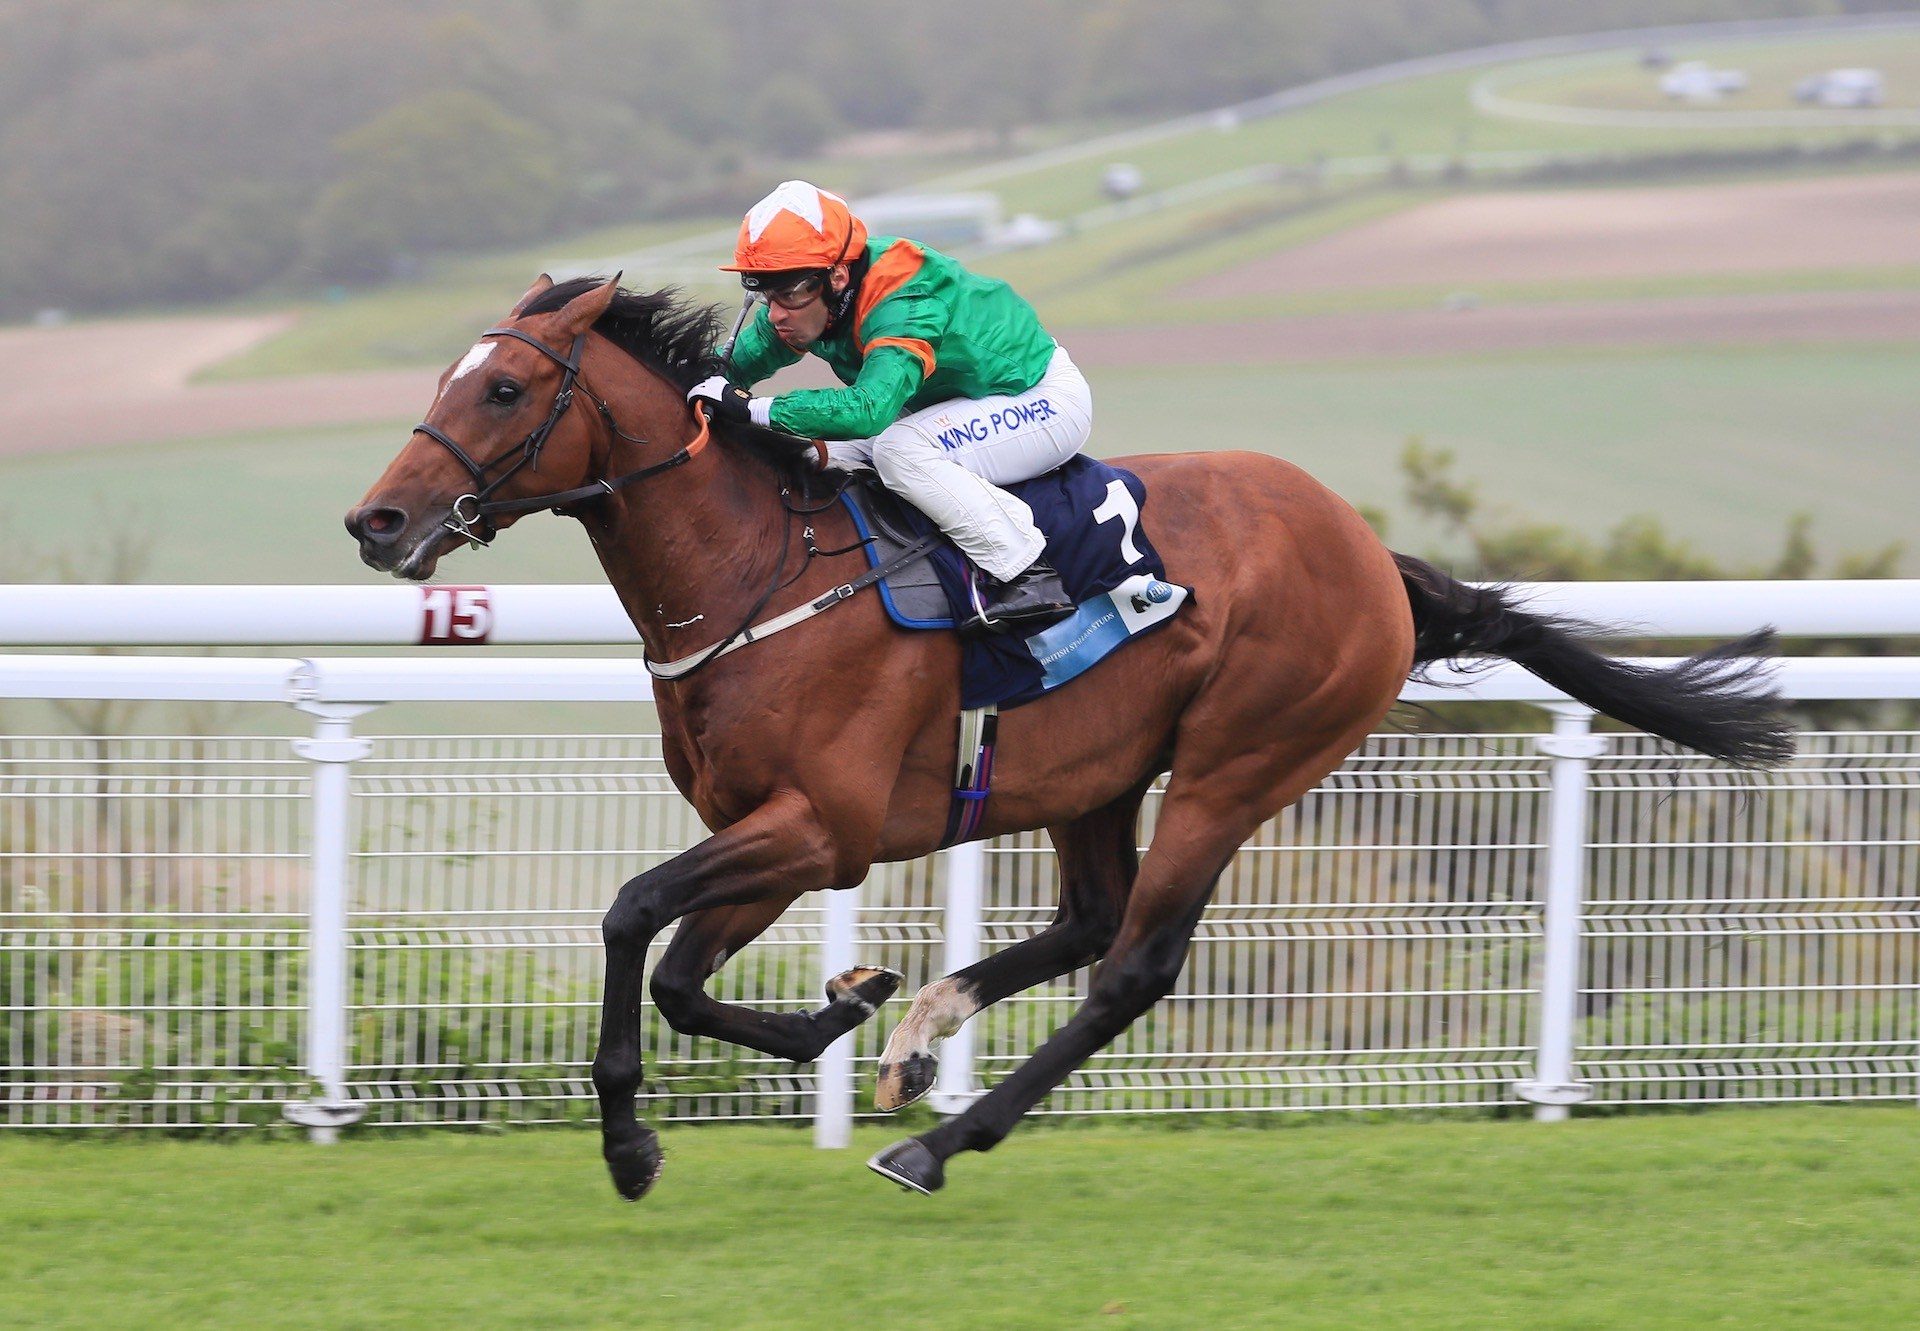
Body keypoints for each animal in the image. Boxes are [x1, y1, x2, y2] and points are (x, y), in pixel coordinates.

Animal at [341, 274, 1781, 1198]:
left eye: (505, 386)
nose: (377, 521)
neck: (755, 572)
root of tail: (1372, 554)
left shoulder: (821, 826)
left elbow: (634, 914)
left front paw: (633, 1145)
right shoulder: (778, 833)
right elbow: (686, 972)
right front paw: (848, 1009)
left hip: (1240, 761)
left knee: (1133, 963)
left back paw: (936, 1142)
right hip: (1101, 773)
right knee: (1090, 921)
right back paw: (922, 1037)